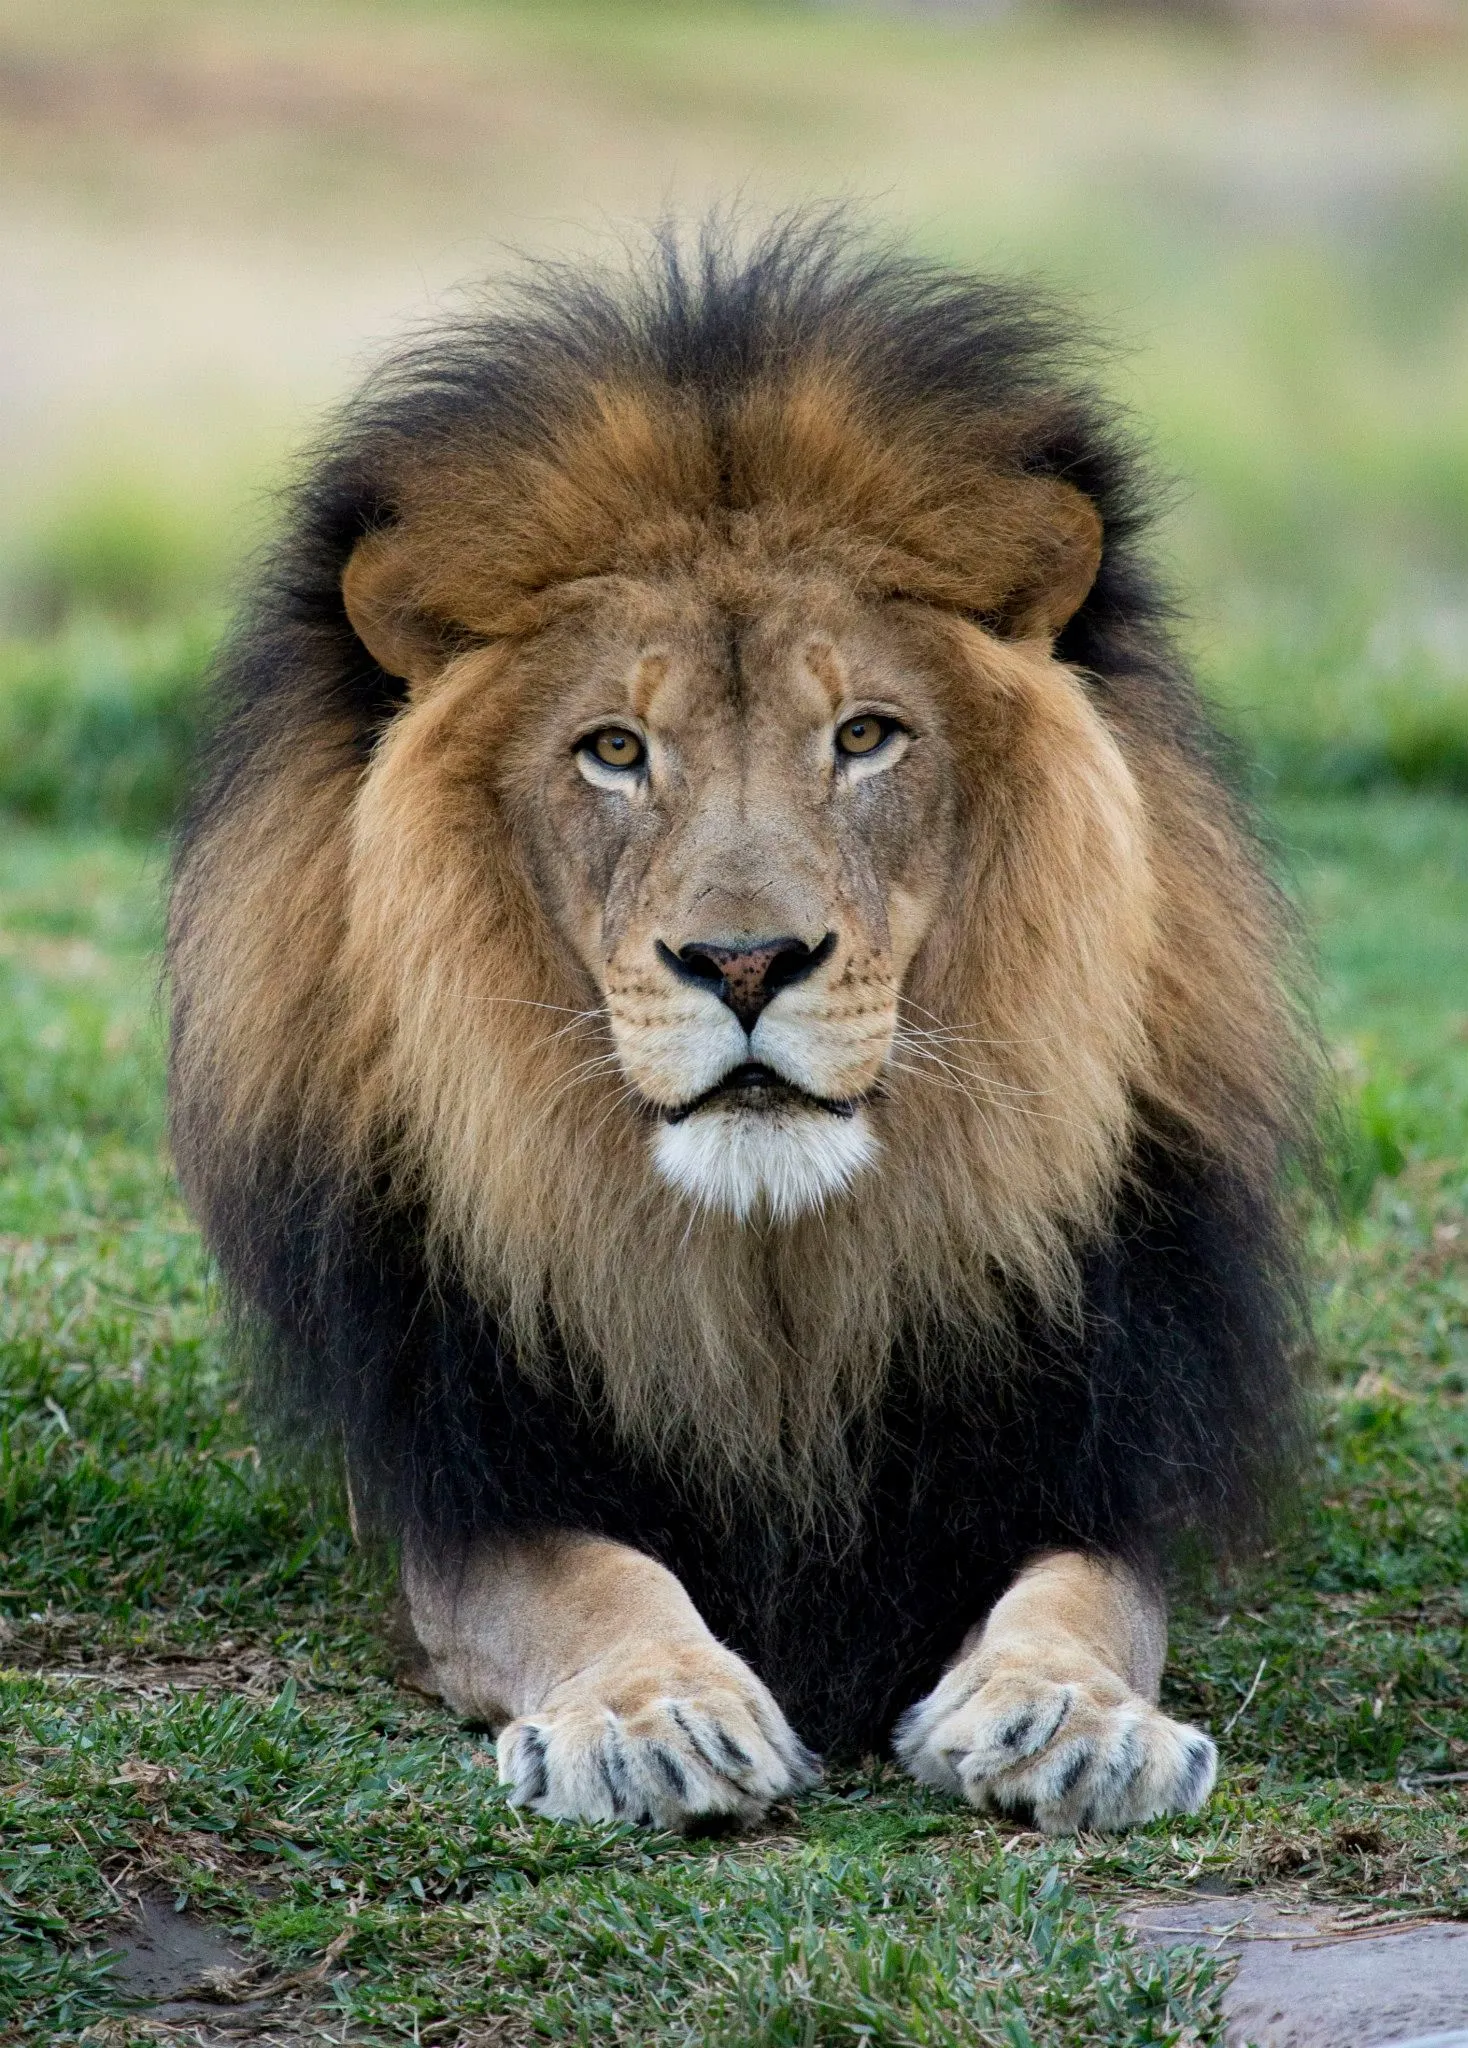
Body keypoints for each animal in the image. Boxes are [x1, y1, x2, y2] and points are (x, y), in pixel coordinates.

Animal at [168, 219, 1310, 1835]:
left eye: (865, 736)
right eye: (614, 750)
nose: (749, 961)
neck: (773, 1271)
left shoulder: (1085, 1428)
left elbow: (1090, 1590)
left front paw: (1073, 1718)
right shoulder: (476, 1474)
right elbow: (589, 1582)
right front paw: (655, 1715)